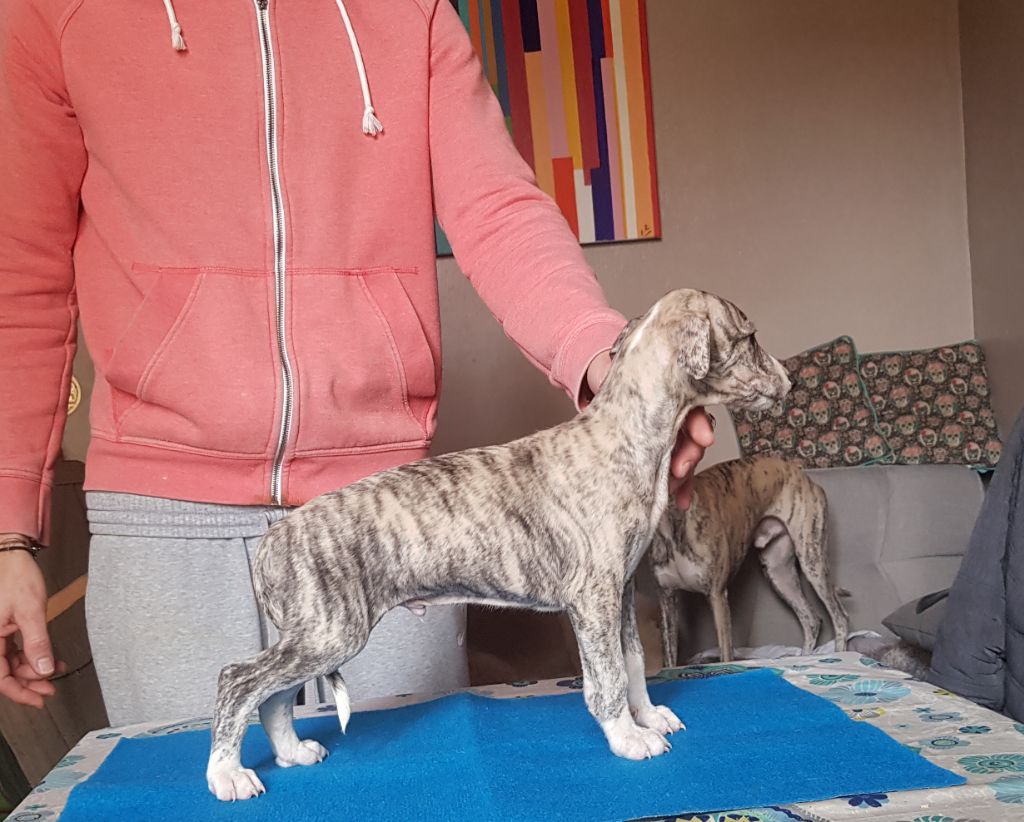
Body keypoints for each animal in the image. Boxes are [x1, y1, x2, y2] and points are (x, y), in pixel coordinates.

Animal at [205, 288, 791, 801]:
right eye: (751, 337)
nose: (786, 379)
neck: (624, 435)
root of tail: (275, 538)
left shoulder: (620, 591)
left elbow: (631, 662)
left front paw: (648, 717)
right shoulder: (592, 599)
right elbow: (605, 679)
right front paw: (627, 738)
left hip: (314, 635)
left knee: (272, 697)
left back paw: (292, 752)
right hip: (330, 632)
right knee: (239, 680)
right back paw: (227, 776)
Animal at [651, 456, 849, 667]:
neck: (672, 526)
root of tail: (804, 476)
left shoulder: (717, 595)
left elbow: (726, 653)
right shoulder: (666, 598)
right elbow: (669, 659)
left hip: (812, 559)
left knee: (840, 618)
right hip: (778, 571)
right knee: (811, 619)